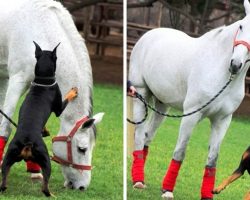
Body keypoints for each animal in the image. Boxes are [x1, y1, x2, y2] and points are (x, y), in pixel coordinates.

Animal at [0, 41, 77, 196]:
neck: (43, 81)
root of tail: (27, 142)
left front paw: (45, 131)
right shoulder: (58, 108)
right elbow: (66, 98)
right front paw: (73, 92)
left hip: (9, 157)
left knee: (3, 181)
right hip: (46, 159)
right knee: (45, 186)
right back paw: (51, 195)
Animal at [129, 0, 250, 199]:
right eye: (241, 26)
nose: (235, 64)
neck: (219, 70)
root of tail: (149, 34)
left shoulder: (222, 120)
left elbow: (213, 159)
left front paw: (208, 194)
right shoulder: (192, 114)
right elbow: (180, 151)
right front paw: (167, 190)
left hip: (162, 106)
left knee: (147, 136)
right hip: (140, 94)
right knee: (139, 136)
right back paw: (138, 180)